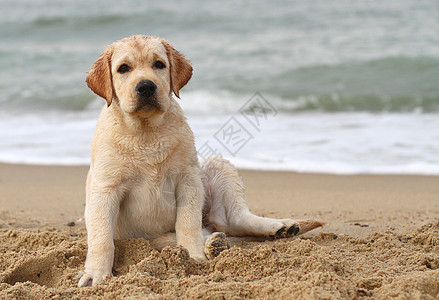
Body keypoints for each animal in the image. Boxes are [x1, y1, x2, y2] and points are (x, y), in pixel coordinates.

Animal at [78, 36, 324, 288]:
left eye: (159, 64)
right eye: (123, 69)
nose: (146, 86)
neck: (147, 132)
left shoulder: (188, 180)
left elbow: (187, 222)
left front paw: (193, 255)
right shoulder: (105, 189)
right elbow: (101, 236)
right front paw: (97, 273)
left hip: (217, 167)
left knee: (236, 219)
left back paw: (278, 227)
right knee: (210, 231)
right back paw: (215, 243)